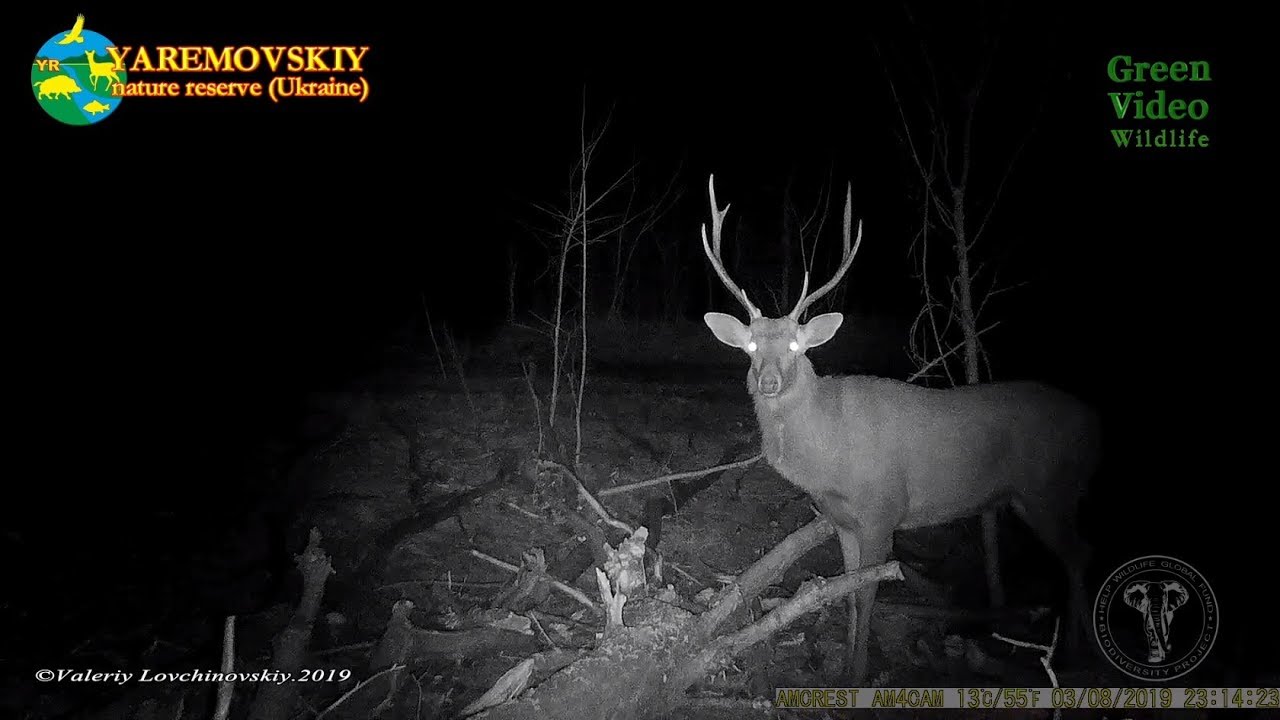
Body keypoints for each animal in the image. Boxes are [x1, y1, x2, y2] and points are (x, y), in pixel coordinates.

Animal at [698, 174, 1100, 684]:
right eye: (751, 346)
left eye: (795, 346)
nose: (768, 381)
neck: (830, 456)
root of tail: (1095, 423)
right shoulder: (842, 520)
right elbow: (846, 595)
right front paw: (844, 670)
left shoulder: (882, 509)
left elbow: (868, 594)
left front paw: (858, 675)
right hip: (1032, 497)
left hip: (1051, 488)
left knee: (1081, 553)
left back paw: (1077, 656)